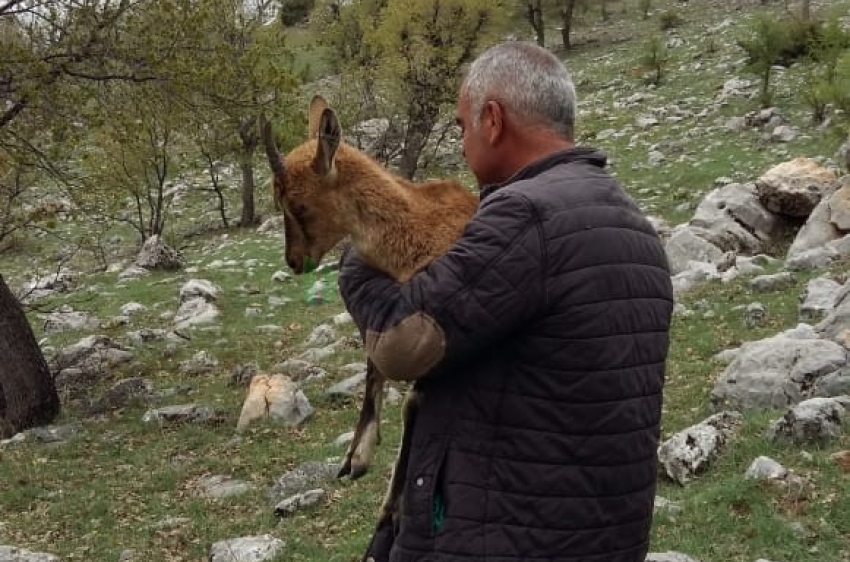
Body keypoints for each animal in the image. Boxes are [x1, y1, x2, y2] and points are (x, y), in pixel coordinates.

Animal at [258, 97, 476, 532]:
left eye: (298, 204)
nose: (294, 262)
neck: (415, 229)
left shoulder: (434, 337)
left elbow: (411, 404)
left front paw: (391, 507)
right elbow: (374, 370)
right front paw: (356, 458)